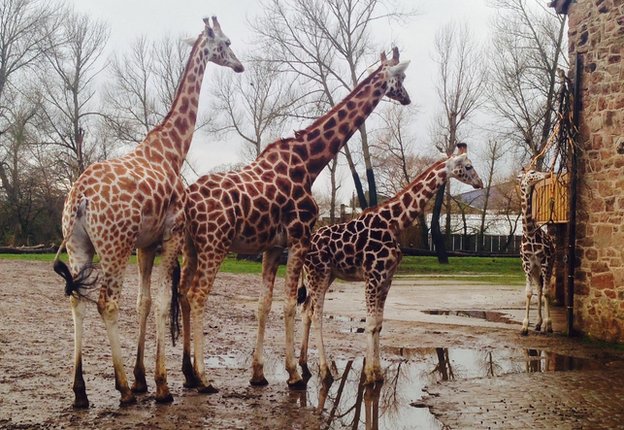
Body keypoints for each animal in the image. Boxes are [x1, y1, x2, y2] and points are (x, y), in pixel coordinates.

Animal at [51, 16, 244, 406]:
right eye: (227, 42)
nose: (239, 65)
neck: (171, 150)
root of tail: (79, 199)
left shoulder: (145, 245)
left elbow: (144, 301)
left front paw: (144, 379)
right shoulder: (170, 237)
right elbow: (163, 300)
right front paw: (161, 385)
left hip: (80, 247)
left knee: (77, 299)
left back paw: (80, 392)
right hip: (114, 246)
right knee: (107, 303)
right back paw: (122, 389)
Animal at [179, 47, 414, 394]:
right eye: (401, 77)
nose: (407, 98)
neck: (309, 162)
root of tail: (188, 202)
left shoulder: (273, 246)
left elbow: (264, 304)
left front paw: (259, 373)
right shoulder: (299, 237)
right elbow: (291, 303)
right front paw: (294, 374)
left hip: (191, 247)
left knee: (181, 293)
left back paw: (188, 374)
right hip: (214, 245)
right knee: (197, 295)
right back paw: (205, 377)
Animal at [296, 144, 482, 382]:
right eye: (468, 166)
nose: (480, 182)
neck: (394, 223)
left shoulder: (387, 278)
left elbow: (378, 324)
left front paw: (377, 372)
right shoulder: (373, 276)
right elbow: (370, 323)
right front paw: (369, 375)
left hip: (326, 276)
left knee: (306, 311)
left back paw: (304, 364)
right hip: (317, 273)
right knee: (316, 314)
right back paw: (325, 370)